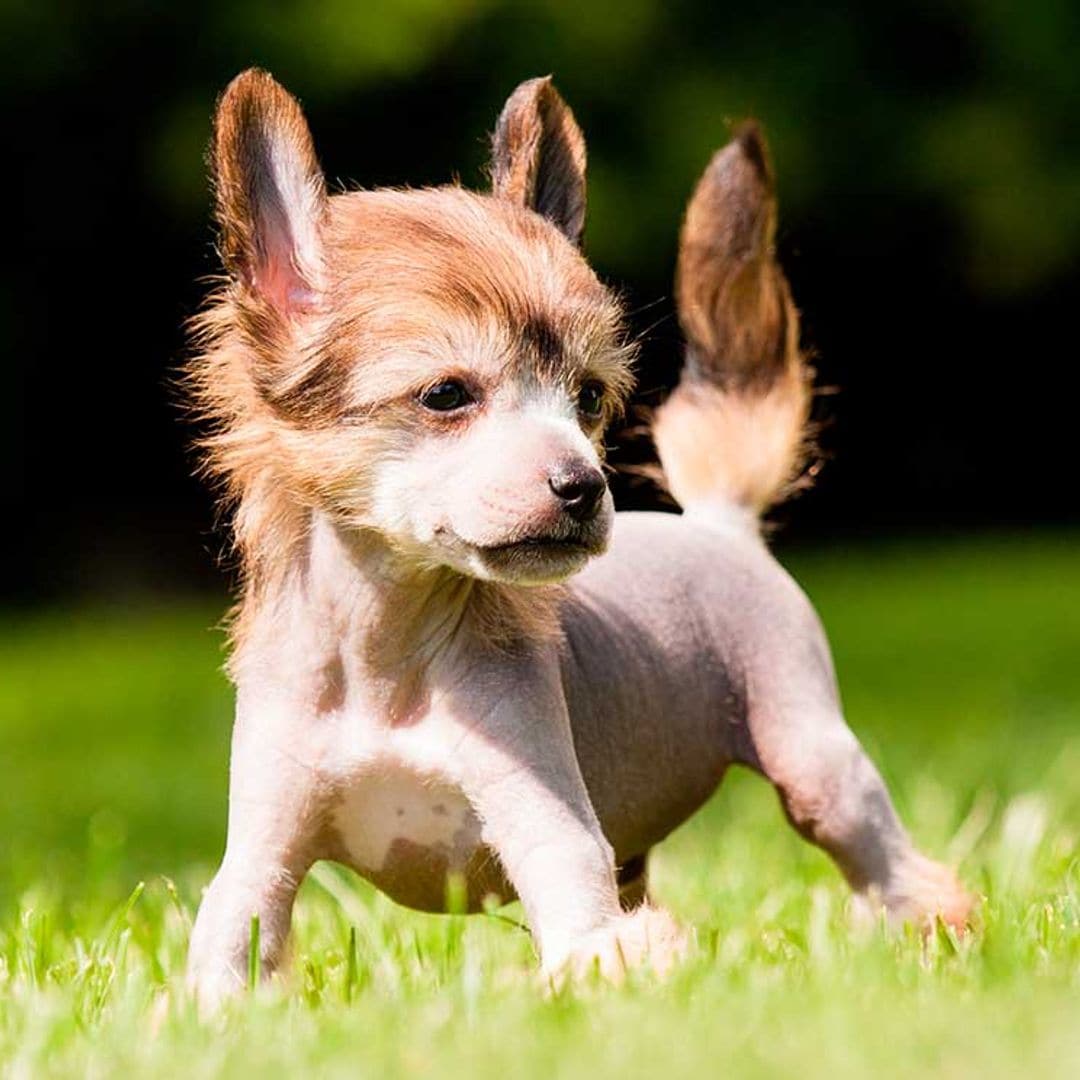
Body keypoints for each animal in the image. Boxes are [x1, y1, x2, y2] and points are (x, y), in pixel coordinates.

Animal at [183, 69, 972, 1002]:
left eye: (589, 397)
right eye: (446, 395)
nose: (584, 485)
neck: (388, 654)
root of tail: (718, 526)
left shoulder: (548, 826)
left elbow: (584, 925)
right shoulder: (263, 852)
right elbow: (231, 937)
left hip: (817, 765)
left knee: (893, 867)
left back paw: (935, 936)